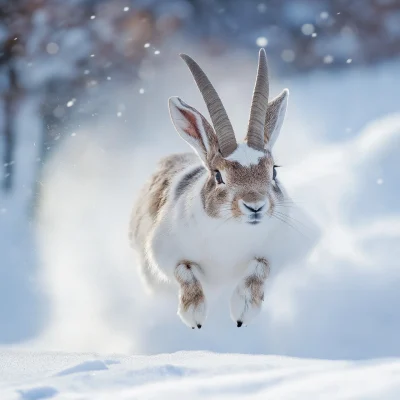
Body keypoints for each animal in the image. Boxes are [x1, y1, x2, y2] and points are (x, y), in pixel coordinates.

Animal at [131, 50, 290, 330]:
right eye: (218, 175)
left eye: (273, 171)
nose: (255, 205)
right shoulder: (164, 253)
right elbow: (184, 271)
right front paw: (194, 316)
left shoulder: (276, 253)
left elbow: (260, 268)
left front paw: (243, 311)